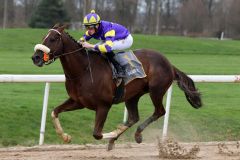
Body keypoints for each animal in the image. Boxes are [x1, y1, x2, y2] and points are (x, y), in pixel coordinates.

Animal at [31, 25, 201, 150]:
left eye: (53, 39)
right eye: (43, 37)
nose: (35, 57)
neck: (84, 70)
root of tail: (169, 64)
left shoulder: (104, 105)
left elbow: (97, 134)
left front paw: (113, 132)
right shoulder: (78, 101)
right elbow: (54, 112)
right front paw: (65, 136)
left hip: (156, 91)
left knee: (159, 111)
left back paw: (136, 134)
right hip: (133, 96)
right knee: (133, 117)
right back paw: (116, 139)